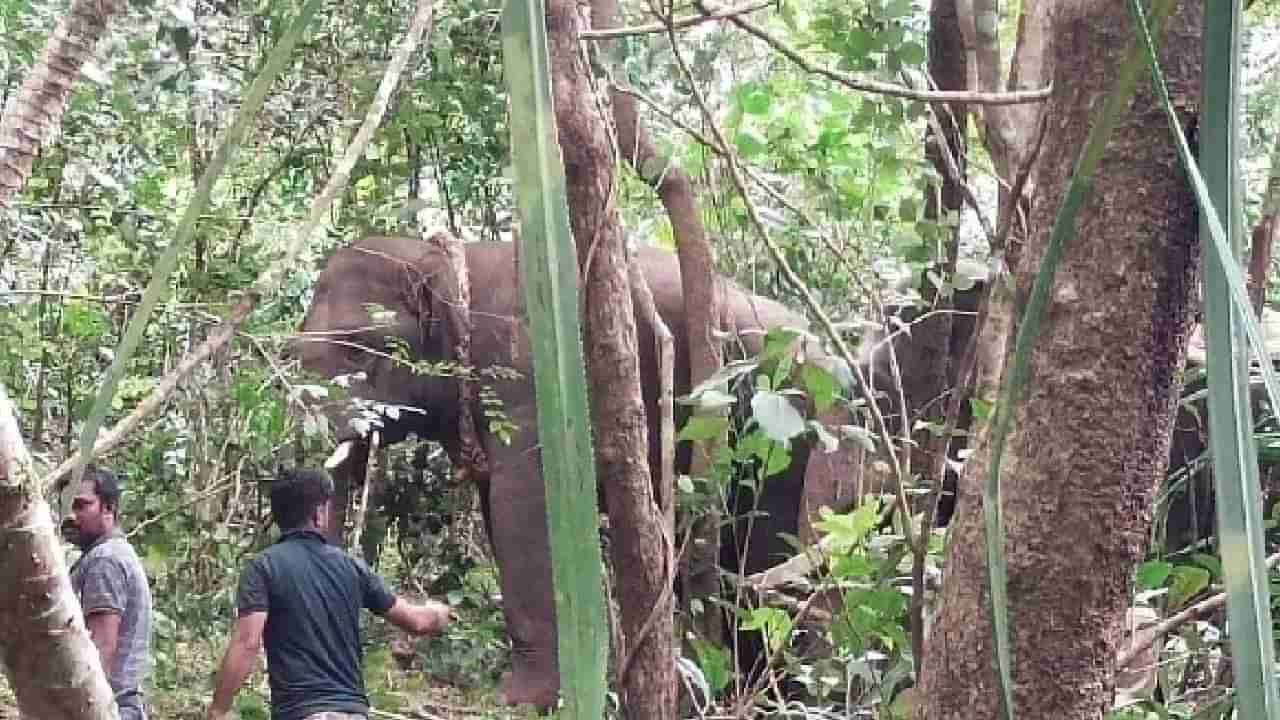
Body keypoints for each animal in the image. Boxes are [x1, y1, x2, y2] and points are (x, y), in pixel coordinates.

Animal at [293, 234, 860, 702]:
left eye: (359, 351)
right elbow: (499, 513)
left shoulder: (529, 386)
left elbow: (524, 517)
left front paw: (523, 703)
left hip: (783, 432)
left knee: (764, 556)